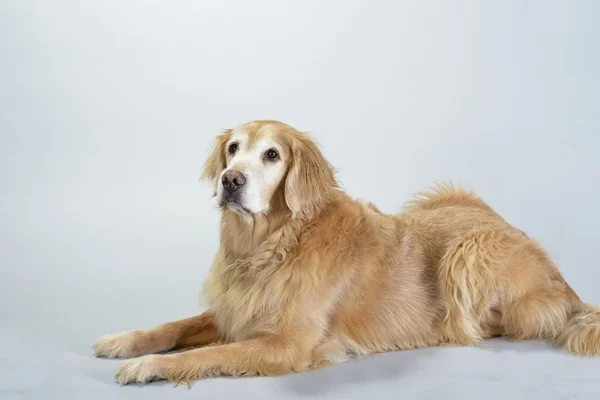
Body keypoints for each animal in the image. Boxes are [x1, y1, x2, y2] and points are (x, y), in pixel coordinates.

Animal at [94, 120, 600, 386]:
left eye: (272, 155)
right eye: (234, 148)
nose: (230, 180)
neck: (269, 245)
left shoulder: (285, 344)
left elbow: (202, 355)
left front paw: (149, 366)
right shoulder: (234, 308)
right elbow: (173, 326)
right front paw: (125, 341)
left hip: (468, 249)